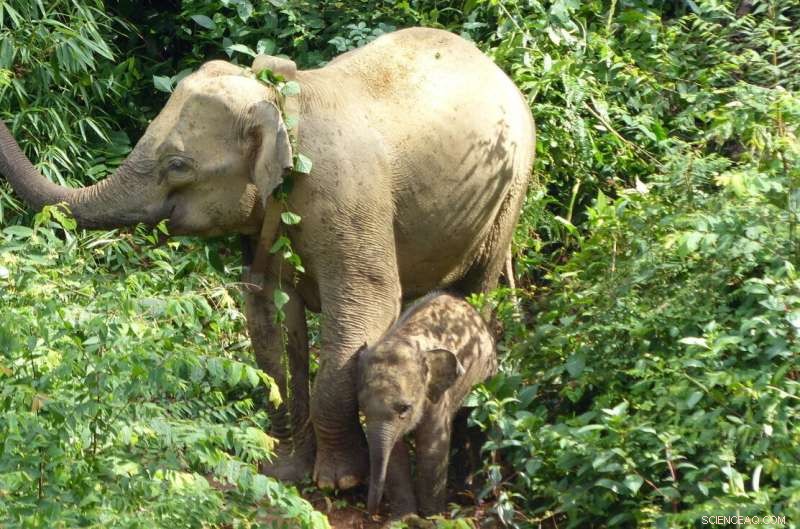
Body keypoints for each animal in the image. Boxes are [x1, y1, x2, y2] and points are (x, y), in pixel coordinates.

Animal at [0, 27, 534, 490]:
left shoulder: (348, 201)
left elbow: (365, 309)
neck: (281, 100)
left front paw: (339, 481)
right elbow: (268, 321)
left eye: (178, 165)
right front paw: (286, 472)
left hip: (511, 185)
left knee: (477, 286)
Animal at [356, 292, 497, 516]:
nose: (371, 512)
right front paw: (403, 518)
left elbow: (433, 446)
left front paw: (432, 516)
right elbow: (395, 453)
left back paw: (482, 495)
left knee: (478, 426)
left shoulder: (435, 398)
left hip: (486, 374)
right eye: (362, 409)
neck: (404, 338)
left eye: (404, 408)